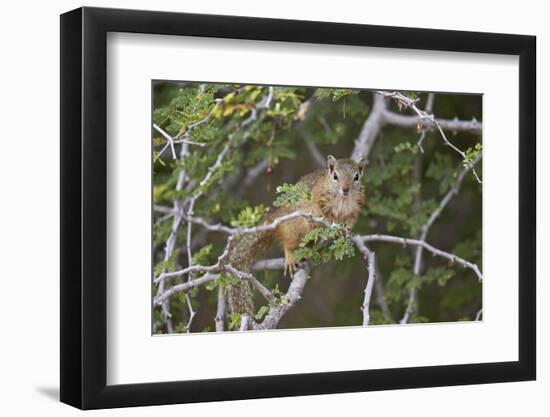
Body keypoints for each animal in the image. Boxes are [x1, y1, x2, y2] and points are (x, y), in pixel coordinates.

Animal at [224, 154, 366, 316]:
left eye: (356, 176)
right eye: (335, 175)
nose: (346, 189)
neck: (343, 199)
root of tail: (278, 216)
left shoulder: (355, 208)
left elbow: (350, 221)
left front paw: (346, 231)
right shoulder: (319, 198)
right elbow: (324, 215)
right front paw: (334, 226)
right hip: (295, 228)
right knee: (288, 243)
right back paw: (291, 256)